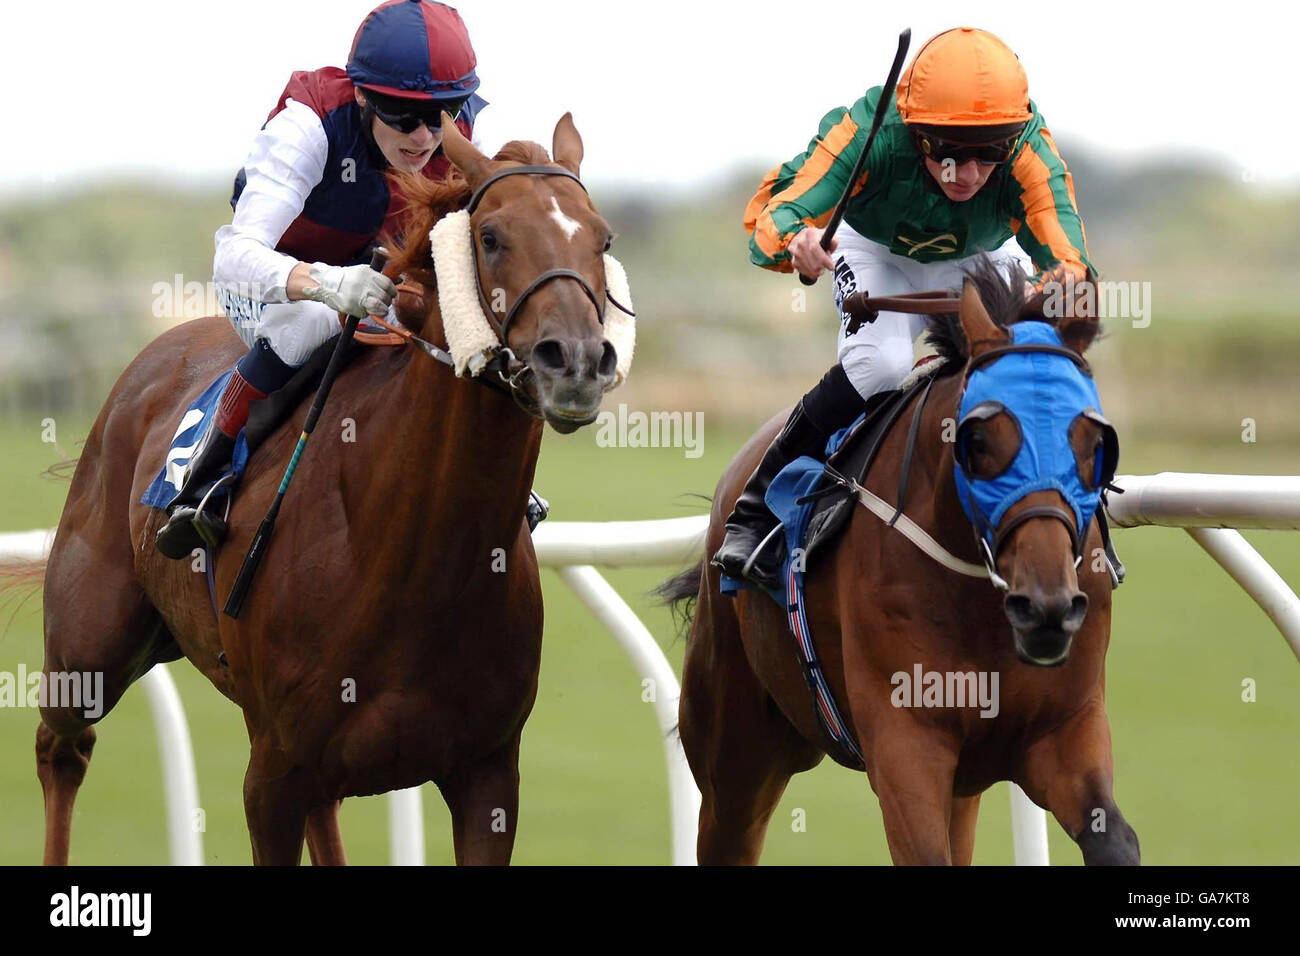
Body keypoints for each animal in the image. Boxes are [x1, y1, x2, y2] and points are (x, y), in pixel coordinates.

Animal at [25, 113, 621, 868]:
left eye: (603, 238)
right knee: (61, 748)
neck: (410, 556)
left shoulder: (486, 773)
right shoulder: (272, 774)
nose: (575, 362)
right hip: (88, 648)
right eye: (490, 236)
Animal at [665, 264, 1144, 868]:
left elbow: (1114, 839)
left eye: (1094, 440)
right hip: (736, 755)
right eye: (978, 439)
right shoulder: (906, 746)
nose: (1047, 609)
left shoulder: (1064, 730)